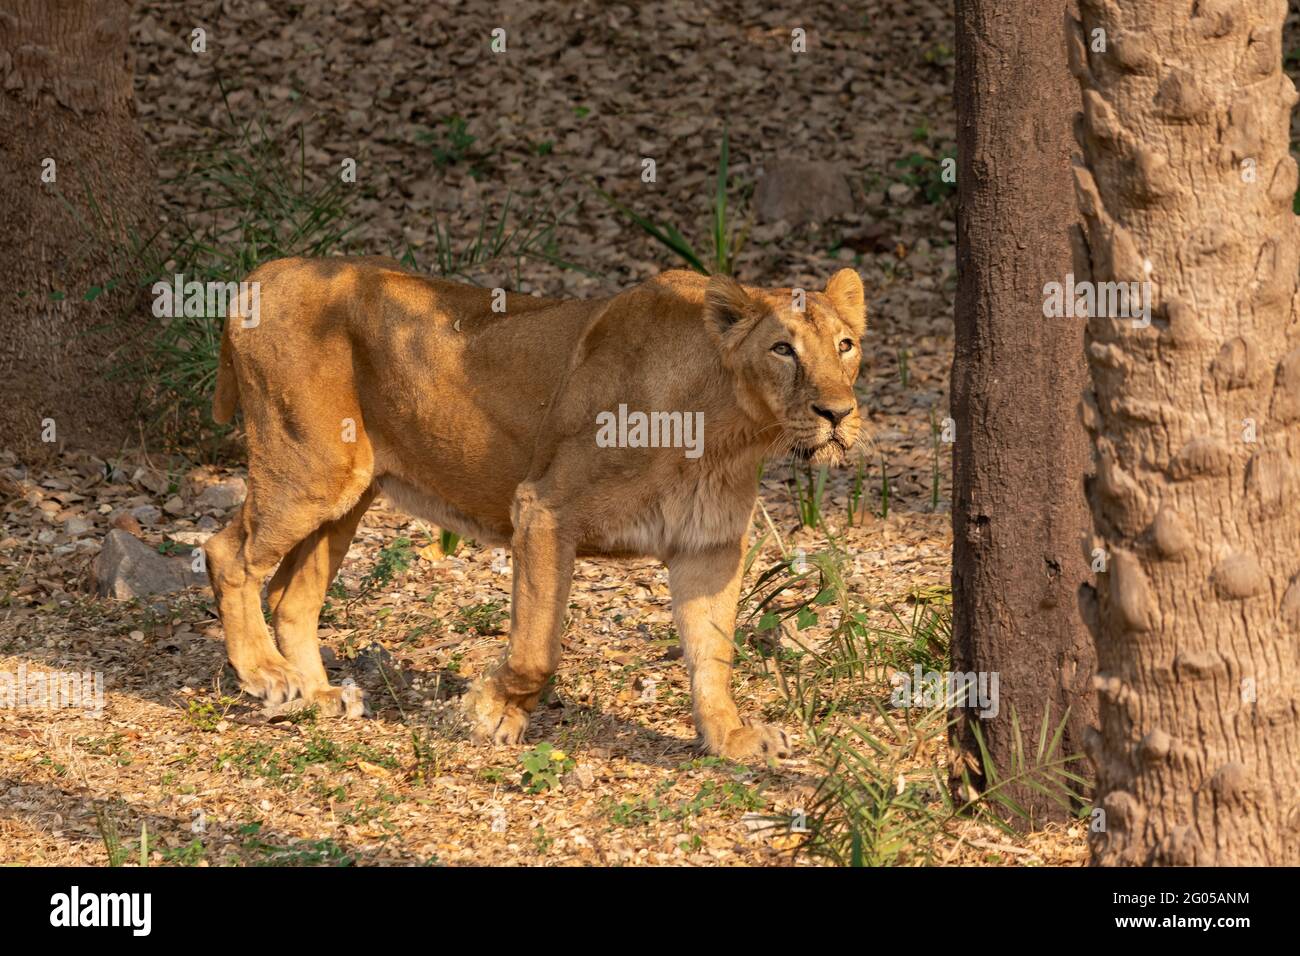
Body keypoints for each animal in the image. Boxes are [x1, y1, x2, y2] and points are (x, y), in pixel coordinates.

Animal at [205, 257, 866, 761]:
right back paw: (266, 674)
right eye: (782, 349)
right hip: (308, 472)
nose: (838, 413)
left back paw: (317, 696)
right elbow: (536, 648)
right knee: (225, 553)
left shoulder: (709, 547)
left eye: (846, 346)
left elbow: (713, 655)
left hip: (348, 494)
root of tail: (265, 272)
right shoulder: (545, 508)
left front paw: (731, 737)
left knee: (292, 594)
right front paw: (486, 714)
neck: (727, 430)